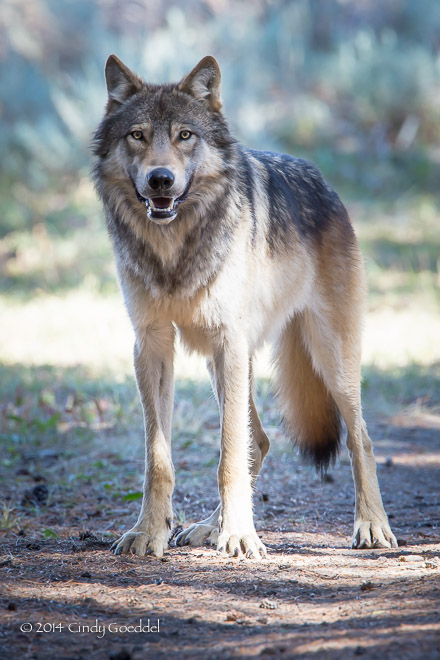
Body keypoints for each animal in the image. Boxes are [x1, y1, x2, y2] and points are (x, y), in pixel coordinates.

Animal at [91, 55, 398, 556]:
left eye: (185, 135)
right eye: (137, 135)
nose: (161, 180)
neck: (175, 251)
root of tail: (324, 183)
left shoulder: (228, 341)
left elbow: (228, 455)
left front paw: (240, 535)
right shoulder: (152, 345)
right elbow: (159, 458)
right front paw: (150, 531)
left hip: (329, 359)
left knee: (361, 439)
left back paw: (371, 525)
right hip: (223, 365)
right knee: (262, 440)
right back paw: (209, 526)